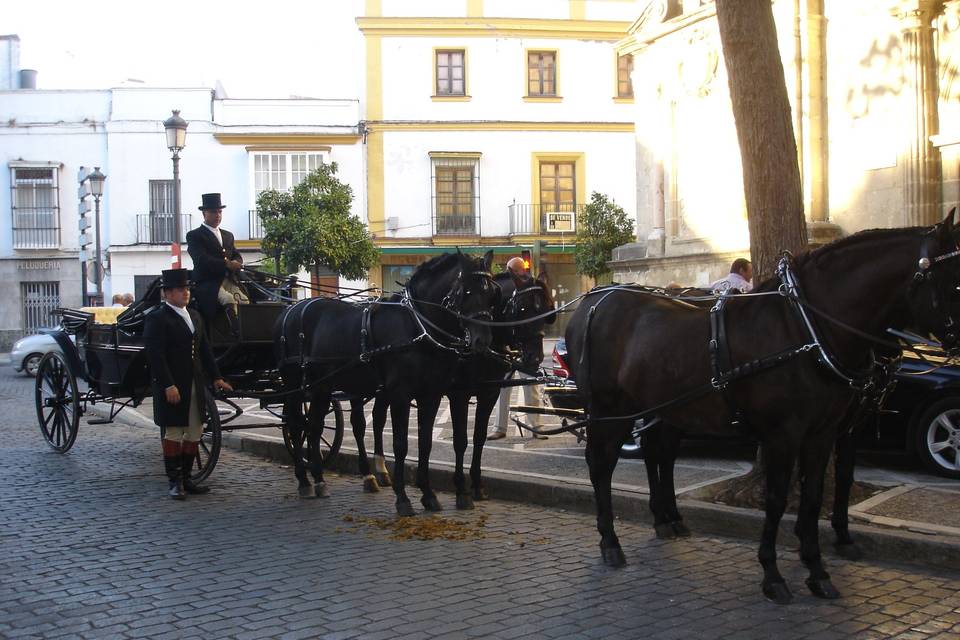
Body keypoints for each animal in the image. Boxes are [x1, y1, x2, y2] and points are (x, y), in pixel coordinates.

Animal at [270, 250, 496, 516]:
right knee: (296, 426)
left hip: (320, 388)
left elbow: (425, 443)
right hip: (295, 385)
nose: (483, 340)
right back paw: (304, 480)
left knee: (314, 427)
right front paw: (403, 498)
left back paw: (319, 479)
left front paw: (428, 494)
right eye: (466, 291)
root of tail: (290, 310)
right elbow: (400, 445)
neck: (417, 326)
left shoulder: (431, 395)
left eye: (491, 294)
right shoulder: (400, 395)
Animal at [354, 268, 560, 504]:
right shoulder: (459, 394)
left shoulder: (489, 393)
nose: (535, 358)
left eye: (546, 311)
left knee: (378, 419)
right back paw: (368, 475)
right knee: (359, 424)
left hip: (385, 390)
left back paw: (380, 469)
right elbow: (460, 440)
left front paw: (477, 485)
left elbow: (478, 438)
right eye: (523, 308)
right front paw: (461, 489)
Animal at [568, 216, 960, 604]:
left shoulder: (825, 433)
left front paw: (817, 569)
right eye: (955, 279)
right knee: (601, 465)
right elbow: (776, 498)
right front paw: (773, 574)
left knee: (655, 453)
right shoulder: (782, 435)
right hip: (609, 412)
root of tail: (593, 301)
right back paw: (610, 542)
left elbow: (816, 494)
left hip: (661, 408)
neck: (806, 329)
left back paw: (665, 521)